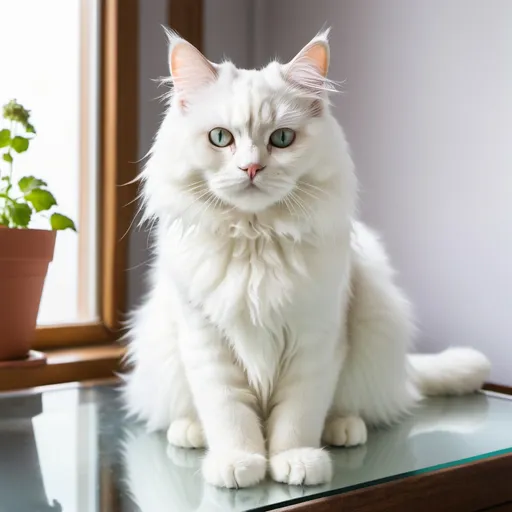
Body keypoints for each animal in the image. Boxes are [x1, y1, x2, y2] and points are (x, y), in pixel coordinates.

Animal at [123, 31, 488, 488]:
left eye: (281, 139)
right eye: (220, 138)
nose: (251, 168)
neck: (255, 240)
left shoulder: (315, 339)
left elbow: (297, 415)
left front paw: (294, 462)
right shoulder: (206, 340)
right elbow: (228, 412)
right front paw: (238, 463)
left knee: (351, 407)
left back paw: (343, 429)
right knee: (189, 413)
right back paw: (190, 432)